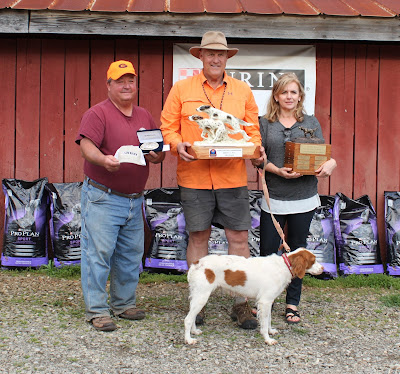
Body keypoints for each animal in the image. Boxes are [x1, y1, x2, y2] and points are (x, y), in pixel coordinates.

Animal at [186, 248, 324, 344]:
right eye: (313, 261)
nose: (323, 268)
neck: (284, 266)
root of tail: (196, 263)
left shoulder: (268, 301)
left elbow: (268, 320)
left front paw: (271, 331)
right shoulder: (265, 301)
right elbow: (264, 322)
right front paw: (267, 339)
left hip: (197, 296)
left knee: (192, 317)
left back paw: (194, 331)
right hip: (202, 296)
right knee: (187, 319)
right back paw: (188, 339)